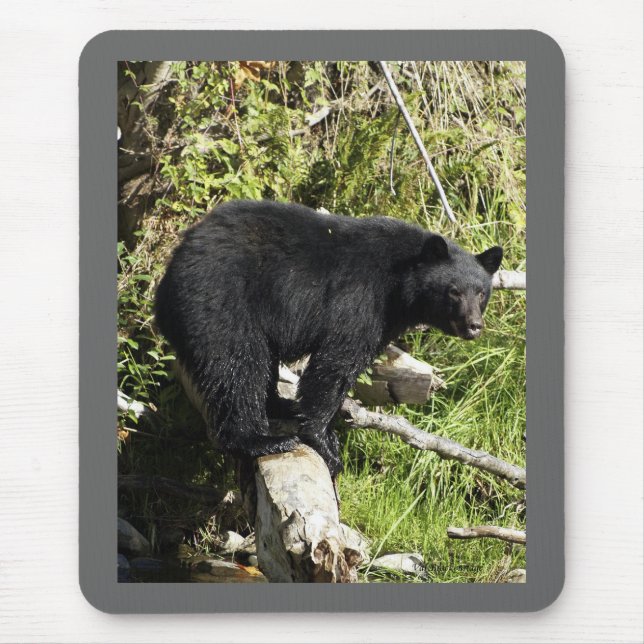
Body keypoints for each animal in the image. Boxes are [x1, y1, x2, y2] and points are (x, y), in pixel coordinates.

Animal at [154, 200, 503, 478]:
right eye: (453, 292)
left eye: (481, 292)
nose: (474, 326)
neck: (399, 286)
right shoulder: (361, 301)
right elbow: (335, 366)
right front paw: (326, 444)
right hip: (221, 303)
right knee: (238, 366)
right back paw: (260, 440)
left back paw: (281, 406)